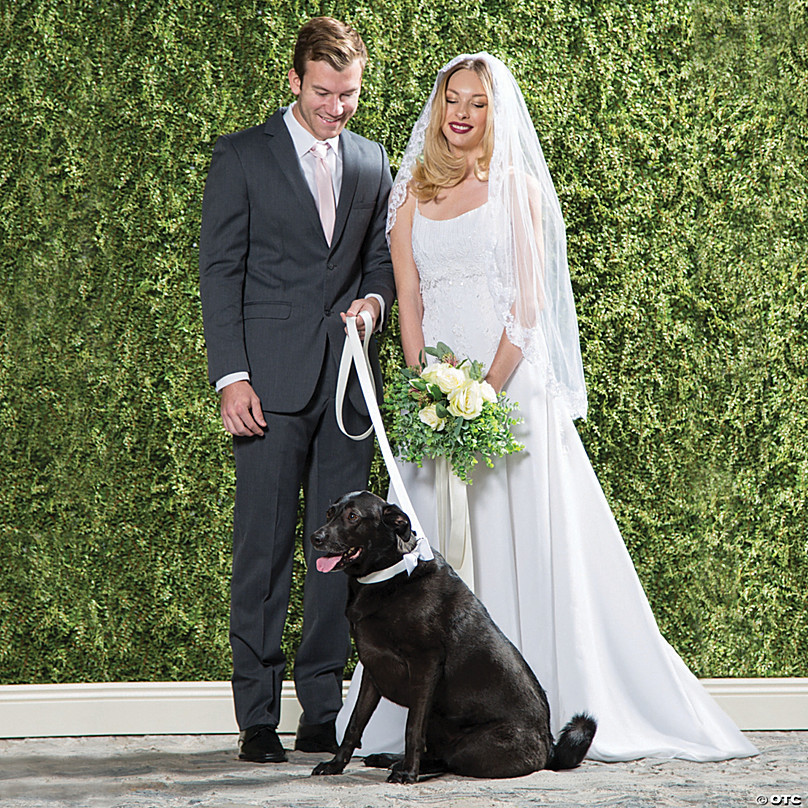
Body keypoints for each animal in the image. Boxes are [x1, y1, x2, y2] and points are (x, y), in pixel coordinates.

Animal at [308, 492, 592, 784]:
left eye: (353, 516)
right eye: (330, 512)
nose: (315, 538)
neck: (389, 576)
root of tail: (550, 748)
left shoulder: (425, 663)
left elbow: (412, 728)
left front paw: (408, 772)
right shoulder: (373, 667)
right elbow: (354, 724)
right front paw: (335, 765)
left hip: (469, 747)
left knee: (446, 760)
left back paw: (404, 766)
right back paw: (389, 759)